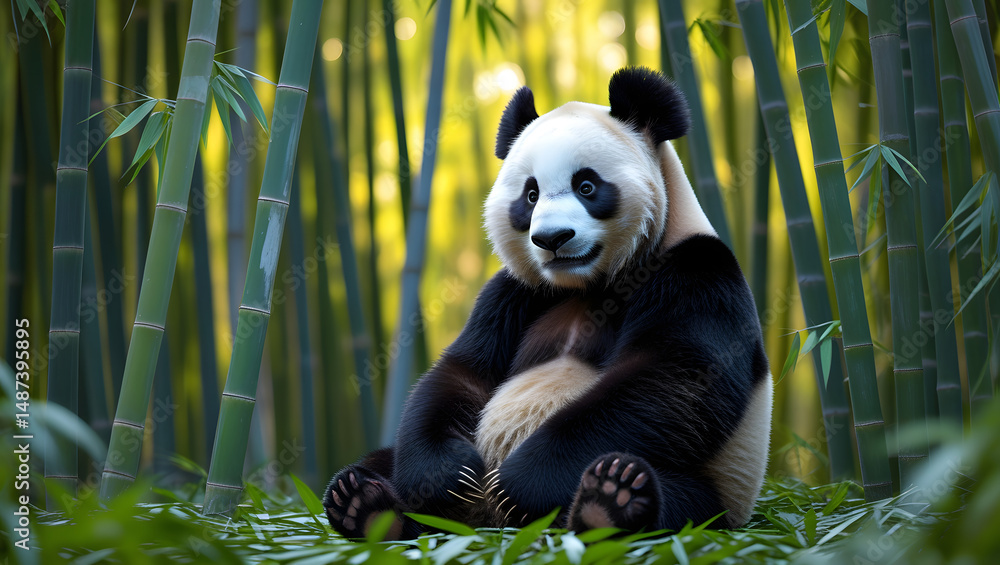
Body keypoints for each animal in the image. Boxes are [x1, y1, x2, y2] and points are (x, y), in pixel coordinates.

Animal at [322, 66, 772, 540]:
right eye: (531, 194)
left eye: (587, 185)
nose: (552, 238)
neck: (587, 284)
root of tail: (485, 522)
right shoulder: (515, 293)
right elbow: (462, 373)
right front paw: (447, 476)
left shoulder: (697, 271)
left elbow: (676, 376)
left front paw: (520, 482)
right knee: (385, 460)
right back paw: (363, 502)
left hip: (718, 491)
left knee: (675, 500)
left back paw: (609, 501)